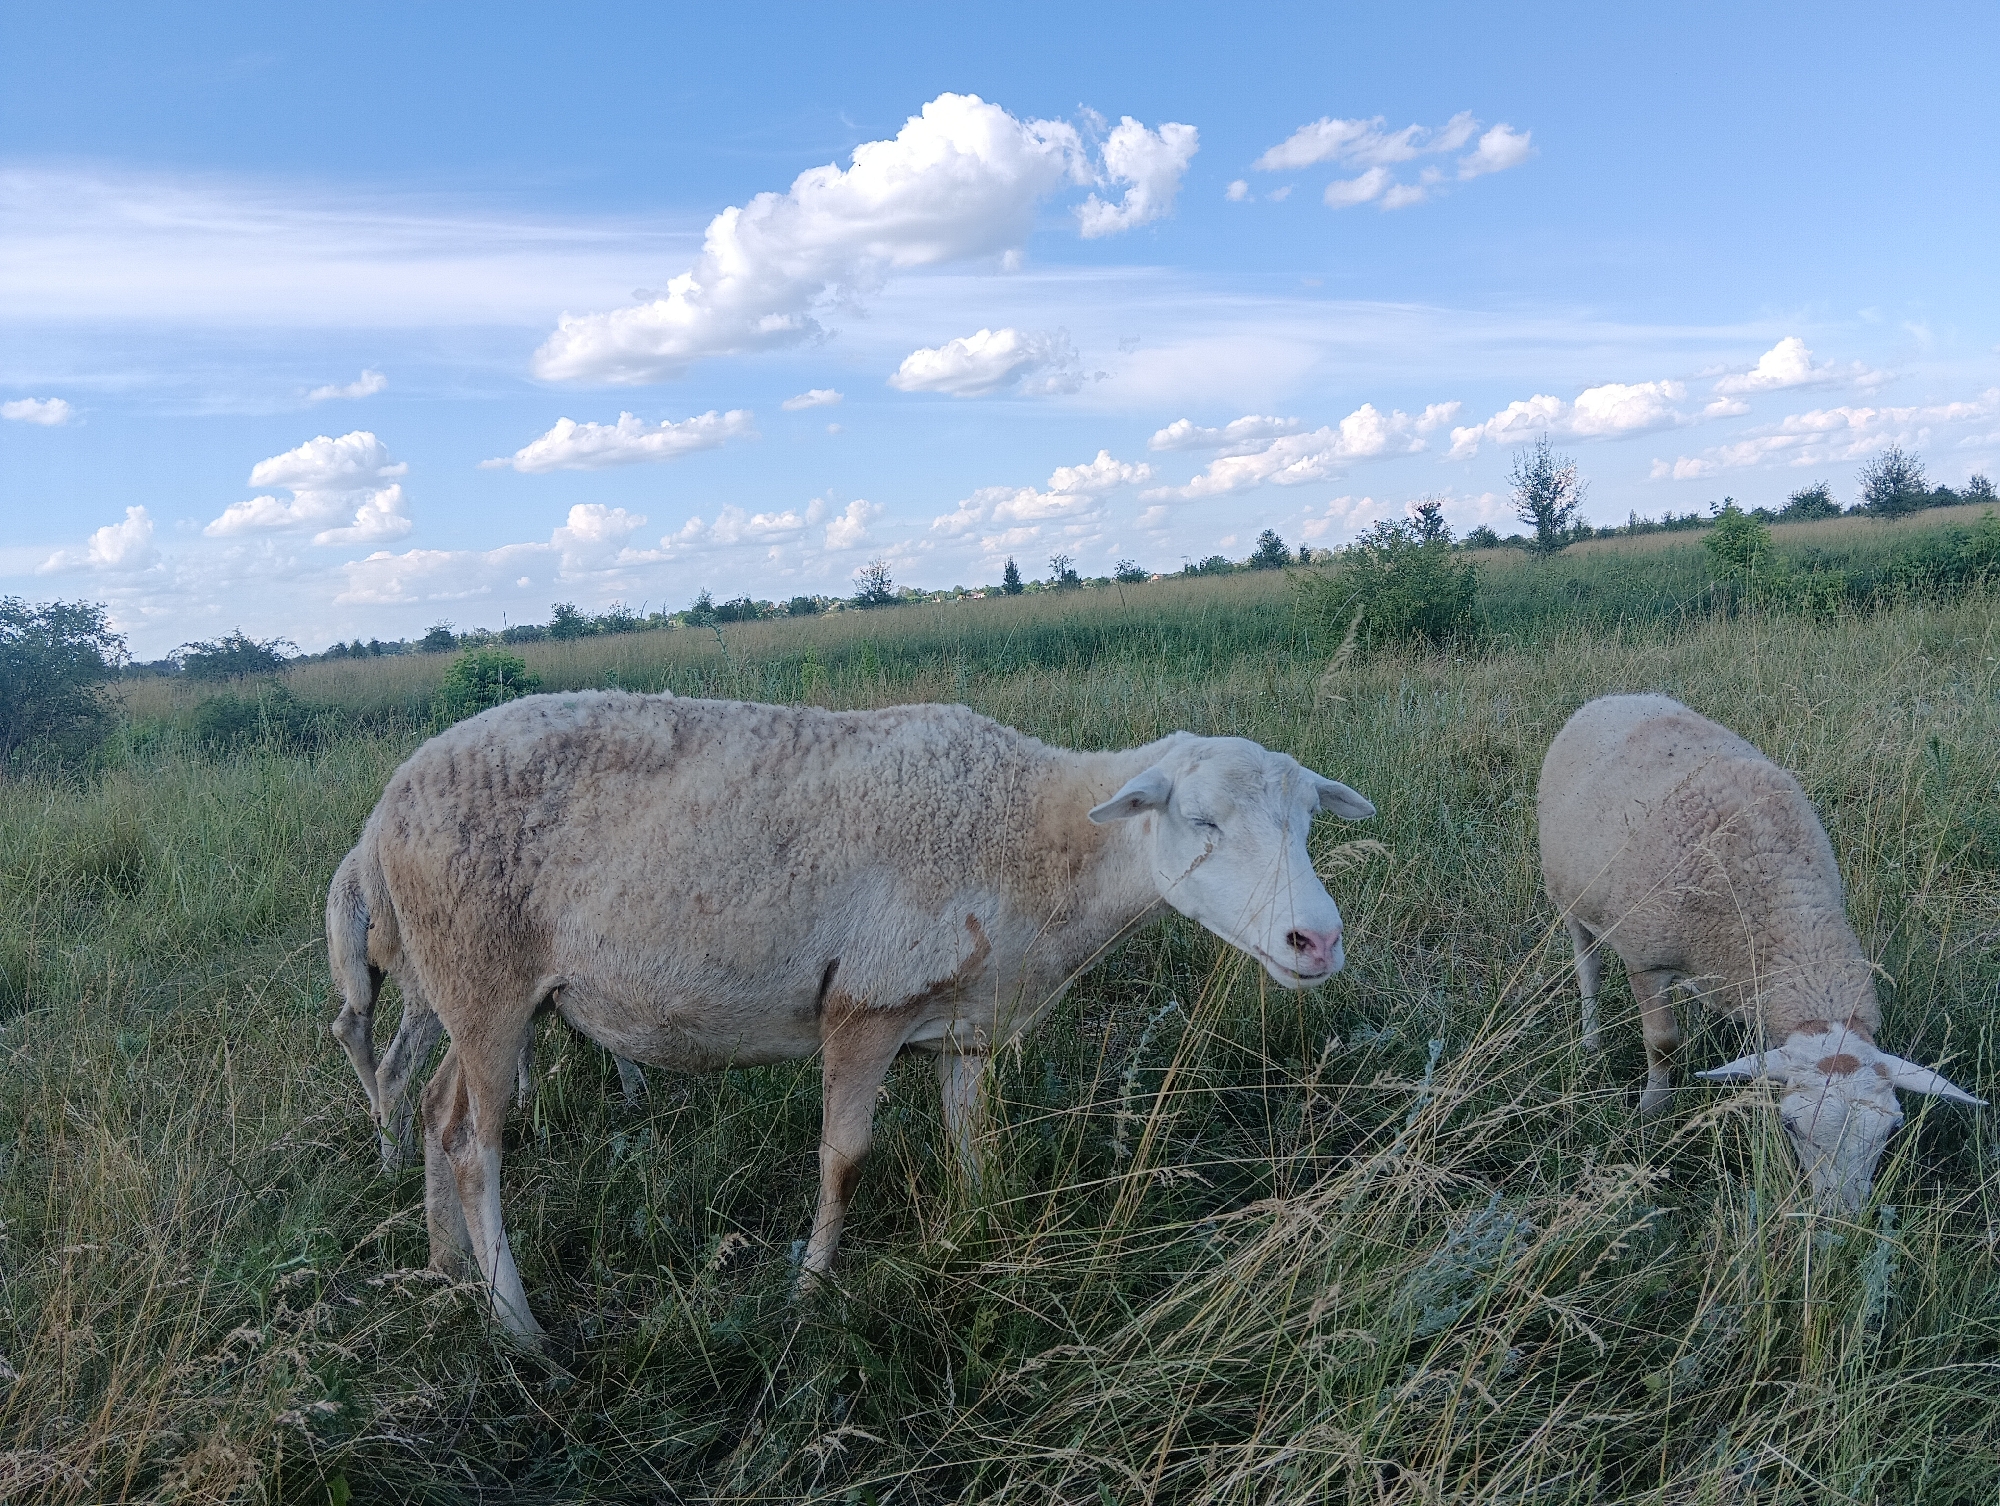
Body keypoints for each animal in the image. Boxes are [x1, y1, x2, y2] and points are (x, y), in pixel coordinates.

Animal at [337, 690, 1376, 1336]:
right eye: (1201, 822)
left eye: (1307, 823)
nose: (1317, 942)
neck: (1038, 841)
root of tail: (386, 808)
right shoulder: (865, 1005)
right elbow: (843, 1161)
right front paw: (807, 1292)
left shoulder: (966, 1024)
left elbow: (971, 1142)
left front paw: (972, 1235)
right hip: (482, 978)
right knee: (472, 1145)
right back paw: (521, 1331)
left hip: (475, 993)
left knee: (435, 1110)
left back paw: (446, 1269)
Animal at [1538, 692, 1982, 1209]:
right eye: (1789, 1125)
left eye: (1892, 1129)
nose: (1840, 1217)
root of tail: (1622, 696)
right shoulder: (1646, 959)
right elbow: (1662, 1045)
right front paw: (1653, 1112)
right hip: (1570, 901)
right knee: (1586, 967)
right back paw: (1590, 1040)